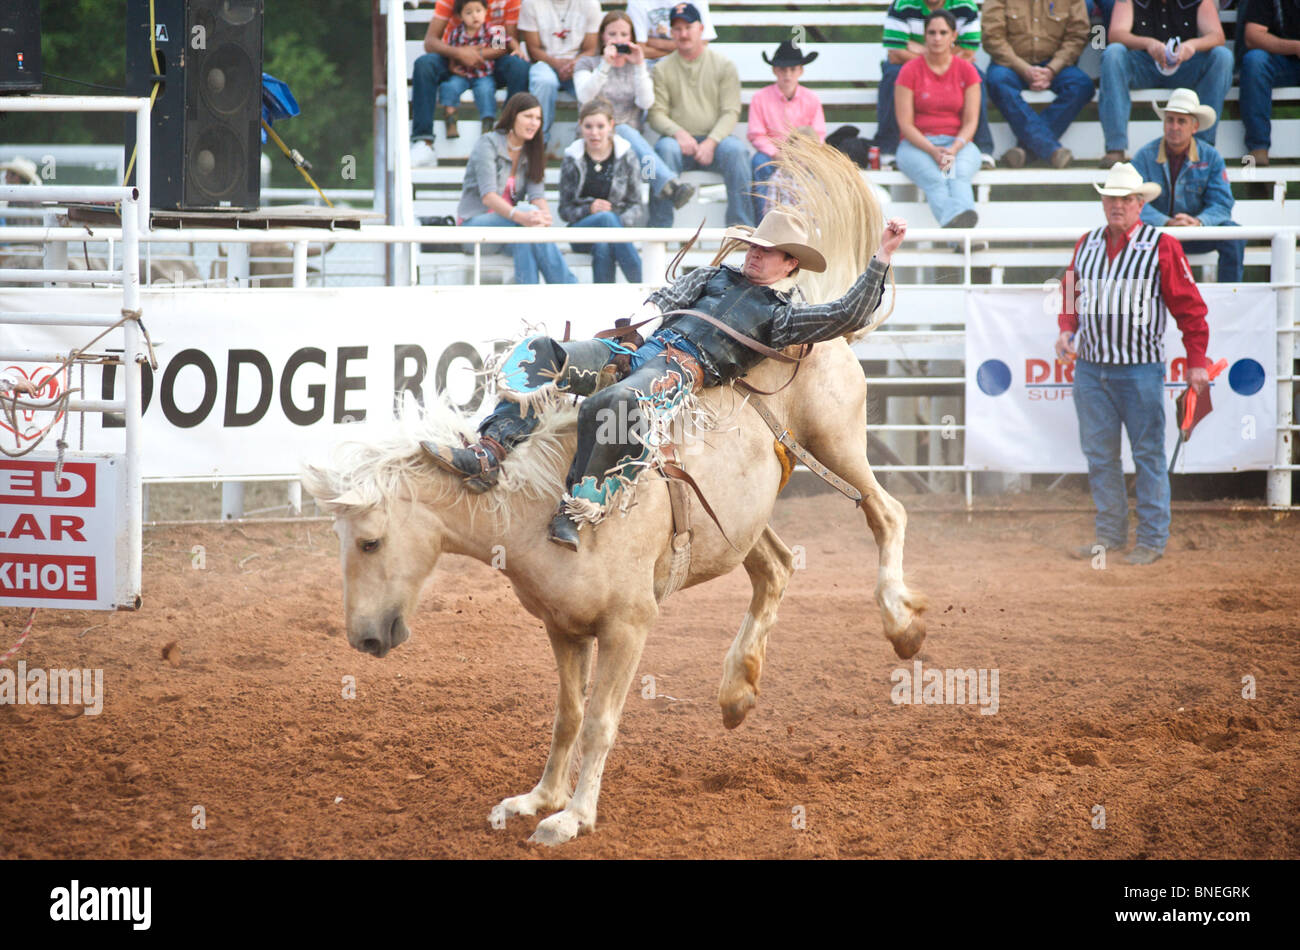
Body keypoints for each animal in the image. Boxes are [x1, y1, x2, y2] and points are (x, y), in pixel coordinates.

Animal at [301, 138, 927, 845]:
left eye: (371, 543)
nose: (363, 640)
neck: (532, 512)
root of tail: (828, 342)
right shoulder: (564, 629)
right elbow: (568, 715)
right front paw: (536, 799)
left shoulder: (629, 625)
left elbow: (601, 719)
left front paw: (572, 816)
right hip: (740, 517)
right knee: (775, 566)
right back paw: (736, 693)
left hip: (838, 441)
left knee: (885, 513)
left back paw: (901, 624)